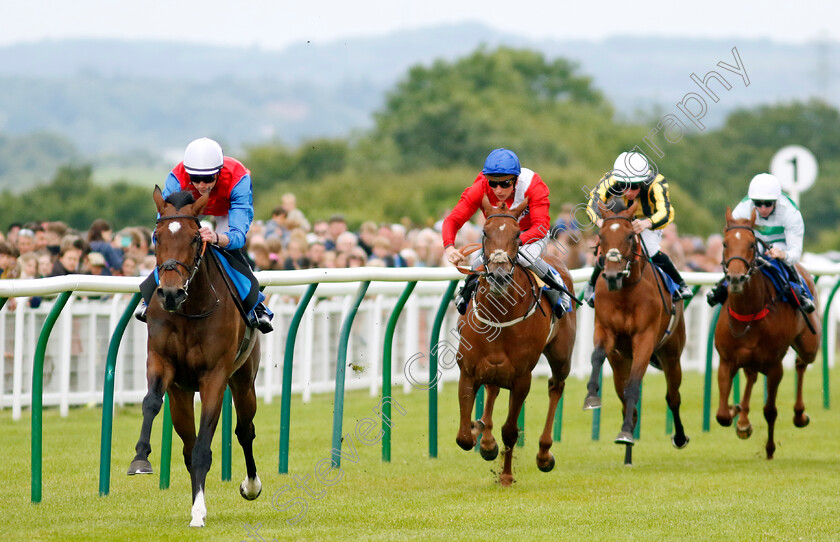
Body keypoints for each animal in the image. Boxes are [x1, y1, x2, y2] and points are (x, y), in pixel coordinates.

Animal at [125, 187, 260, 528]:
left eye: (195, 238)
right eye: (156, 237)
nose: (171, 293)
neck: (190, 310)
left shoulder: (214, 376)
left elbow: (204, 447)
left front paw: (198, 513)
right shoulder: (161, 363)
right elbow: (150, 403)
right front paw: (140, 459)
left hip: (244, 380)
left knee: (245, 430)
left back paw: (251, 486)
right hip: (181, 395)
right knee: (187, 444)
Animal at [452, 198, 576, 486]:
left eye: (518, 234)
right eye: (484, 232)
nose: (499, 276)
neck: (499, 315)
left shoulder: (522, 377)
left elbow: (510, 430)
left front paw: (506, 476)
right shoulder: (468, 370)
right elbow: (463, 437)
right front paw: (480, 435)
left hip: (561, 356)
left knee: (556, 386)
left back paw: (544, 454)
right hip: (493, 370)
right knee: (493, 390)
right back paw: (486, 438)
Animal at [584, 202, 688, 466]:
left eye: (630, 236)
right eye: (601, 236)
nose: (611, 275)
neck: (625, 292)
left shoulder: (644, 338)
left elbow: (633, 387)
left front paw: (625, 433)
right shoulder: (605, 331)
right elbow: (596, 357)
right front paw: (591, 397)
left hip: (672, 355)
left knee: (673, 397)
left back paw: (678, 437)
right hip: (620, 360)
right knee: (624, 400)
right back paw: (628, 453)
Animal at [712, 208, 824, 460]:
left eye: (752, 245)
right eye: (724, 244)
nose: (735, 278)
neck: (748, 313)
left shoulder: (774, 366)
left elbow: (770, 411)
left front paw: (770, 449)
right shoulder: (726, 360)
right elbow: (722, 415)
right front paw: (735, 411)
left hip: (809, 344)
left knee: (802, 362)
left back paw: (799, 415)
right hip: (750, 359)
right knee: (752, 376)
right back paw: (743, 421)